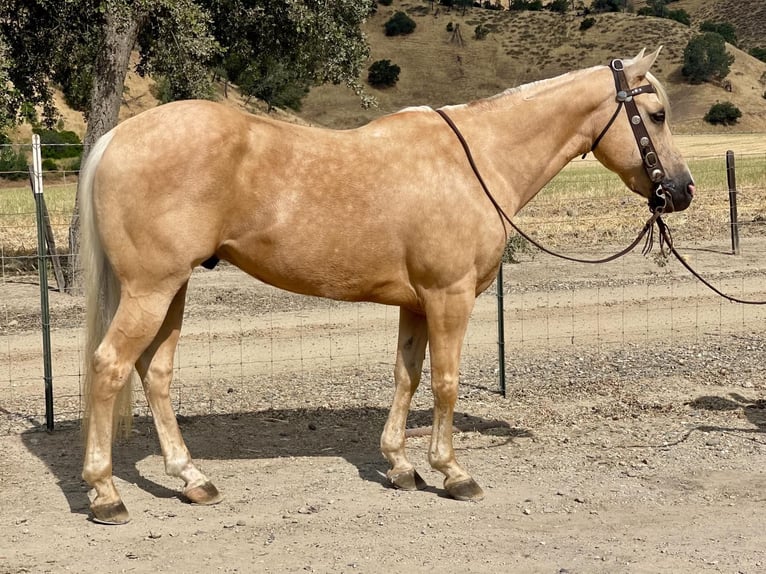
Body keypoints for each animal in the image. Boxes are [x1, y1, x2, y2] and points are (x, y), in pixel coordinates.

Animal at [82, 48, 696, 528]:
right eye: (657, 115)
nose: (682, 190)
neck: (475, 161)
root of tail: (116, 138)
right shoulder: (449, 296)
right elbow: (446, 383)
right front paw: (452, 472)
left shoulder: (417, 302)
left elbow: (407, 376)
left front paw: (401, 465)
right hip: (151, 289)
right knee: (110, 366)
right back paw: (106, 494)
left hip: (173, 288)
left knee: (155, 372)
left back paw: (191, 479)